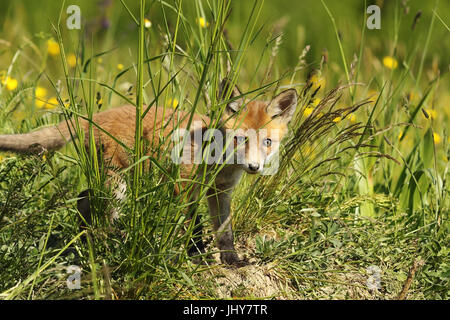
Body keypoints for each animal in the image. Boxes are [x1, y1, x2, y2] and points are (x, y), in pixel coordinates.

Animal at [0, 79, 298, 264]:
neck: (217, 157)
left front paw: (231, 260)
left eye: (267, 142)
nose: (254, 167)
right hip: (117, 185)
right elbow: (192, 228)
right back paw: (112, 243)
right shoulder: (183, 185)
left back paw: (90, 239)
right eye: (240, 139)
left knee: (83, 200)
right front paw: (195, 258)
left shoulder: (220, 191)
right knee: (99, 213)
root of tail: (94, 117)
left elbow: (225, 232)